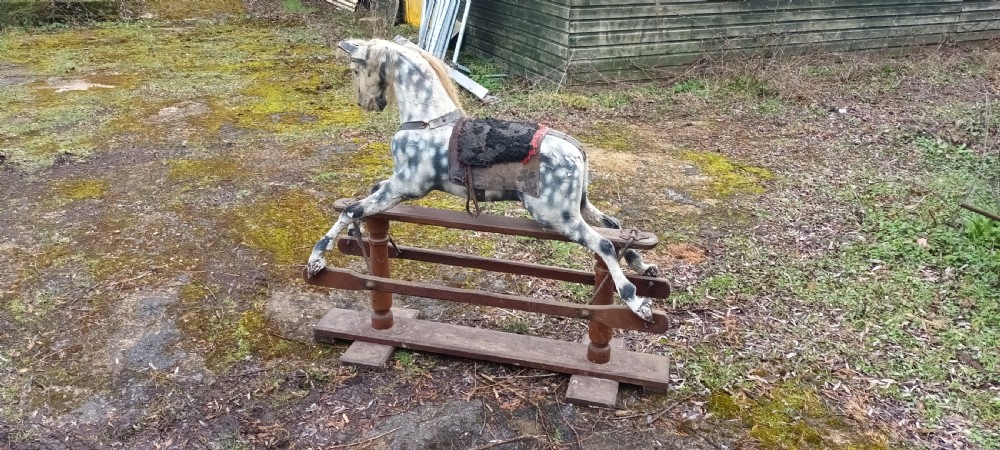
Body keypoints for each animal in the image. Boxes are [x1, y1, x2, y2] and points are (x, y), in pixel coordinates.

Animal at [306, 38, 660, 322]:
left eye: (356, 69)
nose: (366, 103)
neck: (428, 121)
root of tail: (578, 150)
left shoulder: (405, 186)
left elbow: (350, 209)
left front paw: (316, 261)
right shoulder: (395, 184)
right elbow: (366, 195)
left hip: (557, 216)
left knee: (604, 244)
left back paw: (636, 301)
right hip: (579, 206)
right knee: (615, 227)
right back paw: (644, 267)